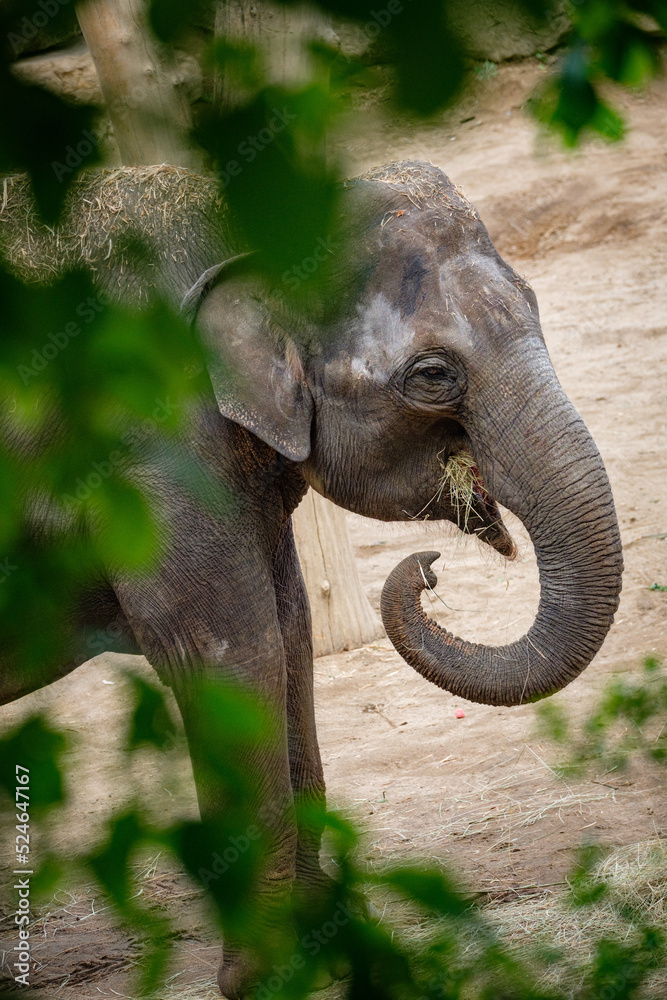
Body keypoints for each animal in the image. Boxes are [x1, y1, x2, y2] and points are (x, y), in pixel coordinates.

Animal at [0, 160, 622, 998]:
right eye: (432, 373)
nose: (426, 570)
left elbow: (289, 637)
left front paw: (322, 943)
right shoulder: (144, 442)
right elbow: (230, 656)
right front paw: (263, 976)